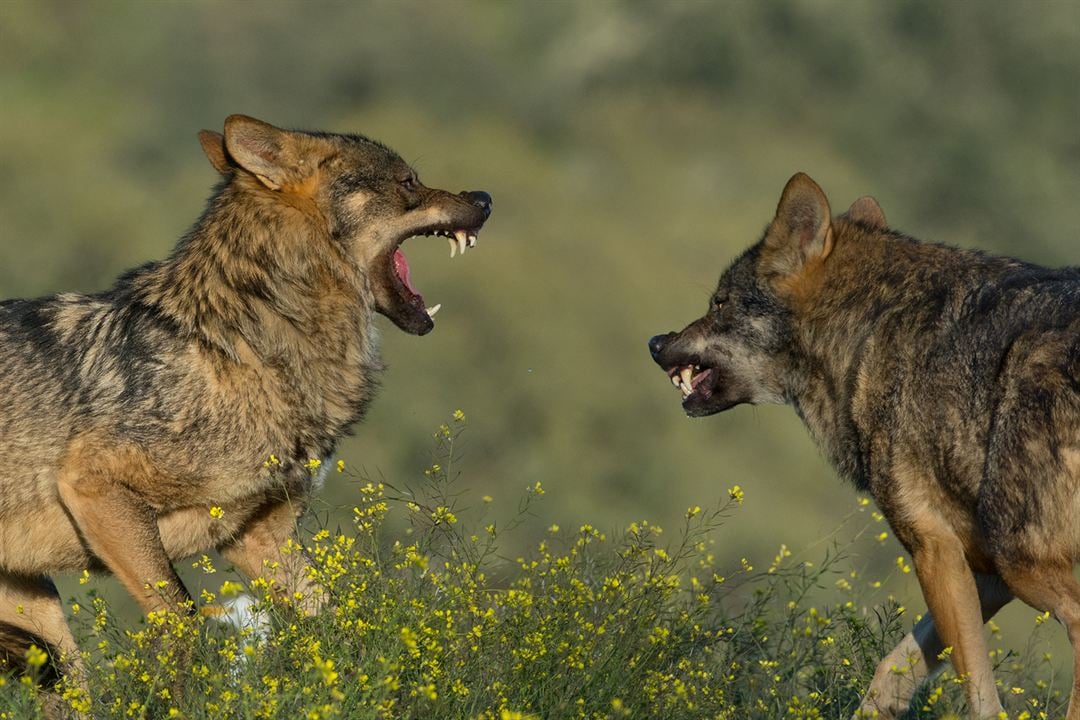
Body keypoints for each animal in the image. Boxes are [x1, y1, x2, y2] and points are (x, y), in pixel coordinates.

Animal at [0, 113, 492, 699]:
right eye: (408, 181)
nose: (485, 198)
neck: (250, 349)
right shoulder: (94, 484)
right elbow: (182, 621)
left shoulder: (259, 539)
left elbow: (341, 626)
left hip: (46, 630)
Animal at [648, 172, 1080, 716]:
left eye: (720, 303)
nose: (655, 342)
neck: (870, 328)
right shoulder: (982, 572)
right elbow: (890, 673)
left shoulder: (934, 547)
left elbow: (978, 694)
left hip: (1023, 561)